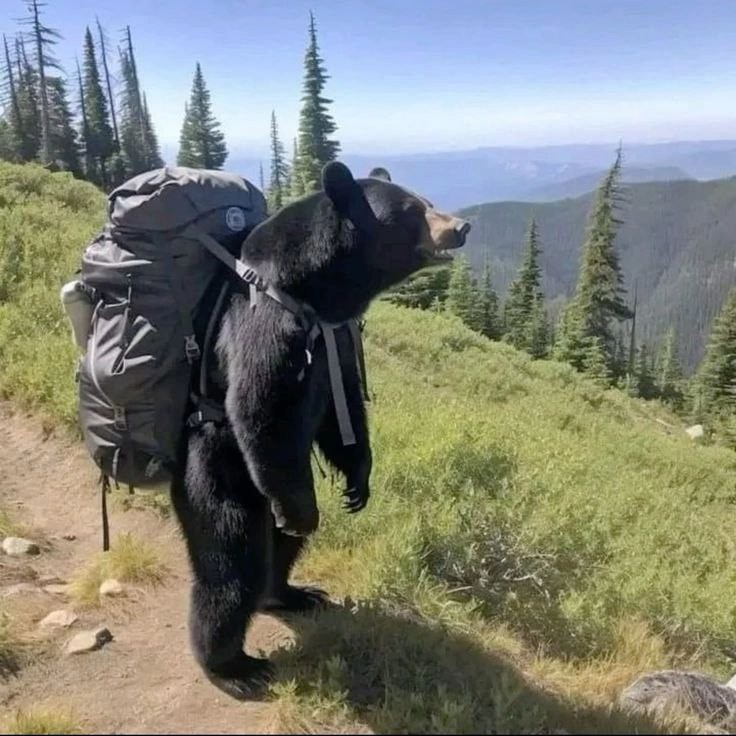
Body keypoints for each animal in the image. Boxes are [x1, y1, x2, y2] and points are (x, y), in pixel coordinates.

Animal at [171, 160, 472, 696]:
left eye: (427, 199)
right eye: (411, 210)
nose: (461, 226)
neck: (314, 292)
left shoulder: (339, 337)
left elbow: (343, 404)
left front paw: (358, 483)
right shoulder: (263, 320)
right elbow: (259, 405)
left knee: (281, 547)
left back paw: (290, 593)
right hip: (216, 468)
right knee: (231, 562)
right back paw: (231, 667)